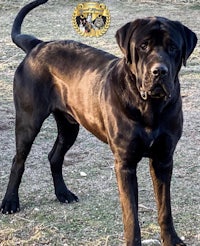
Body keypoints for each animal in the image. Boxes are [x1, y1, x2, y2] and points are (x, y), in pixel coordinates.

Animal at [0, 0, 197, 246]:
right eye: (143, 46)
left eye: (172, 47)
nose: (159, 71)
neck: (149, 106)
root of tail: (38, 44)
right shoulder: (125, 163)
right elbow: (131, 214)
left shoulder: (163, 159)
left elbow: (165, 208)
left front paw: (171, 239)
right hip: (28, 120)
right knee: (18, 160)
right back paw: (10, 202)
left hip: (69, 125)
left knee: (54, 156)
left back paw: (63, 193)